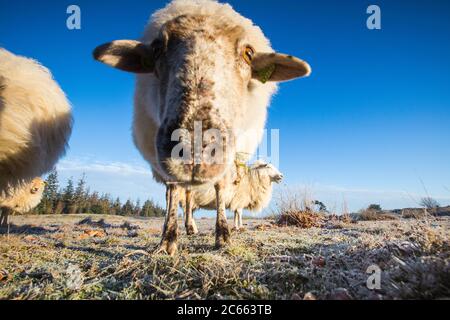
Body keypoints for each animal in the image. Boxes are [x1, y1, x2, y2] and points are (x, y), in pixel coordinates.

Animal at [91, 0, 310, 255]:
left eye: (249, 53)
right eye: (156, 49)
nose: (194, 147)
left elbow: (221, 190)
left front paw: (223, 236)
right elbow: (174, 192)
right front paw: (167, 240)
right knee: (180, 196)